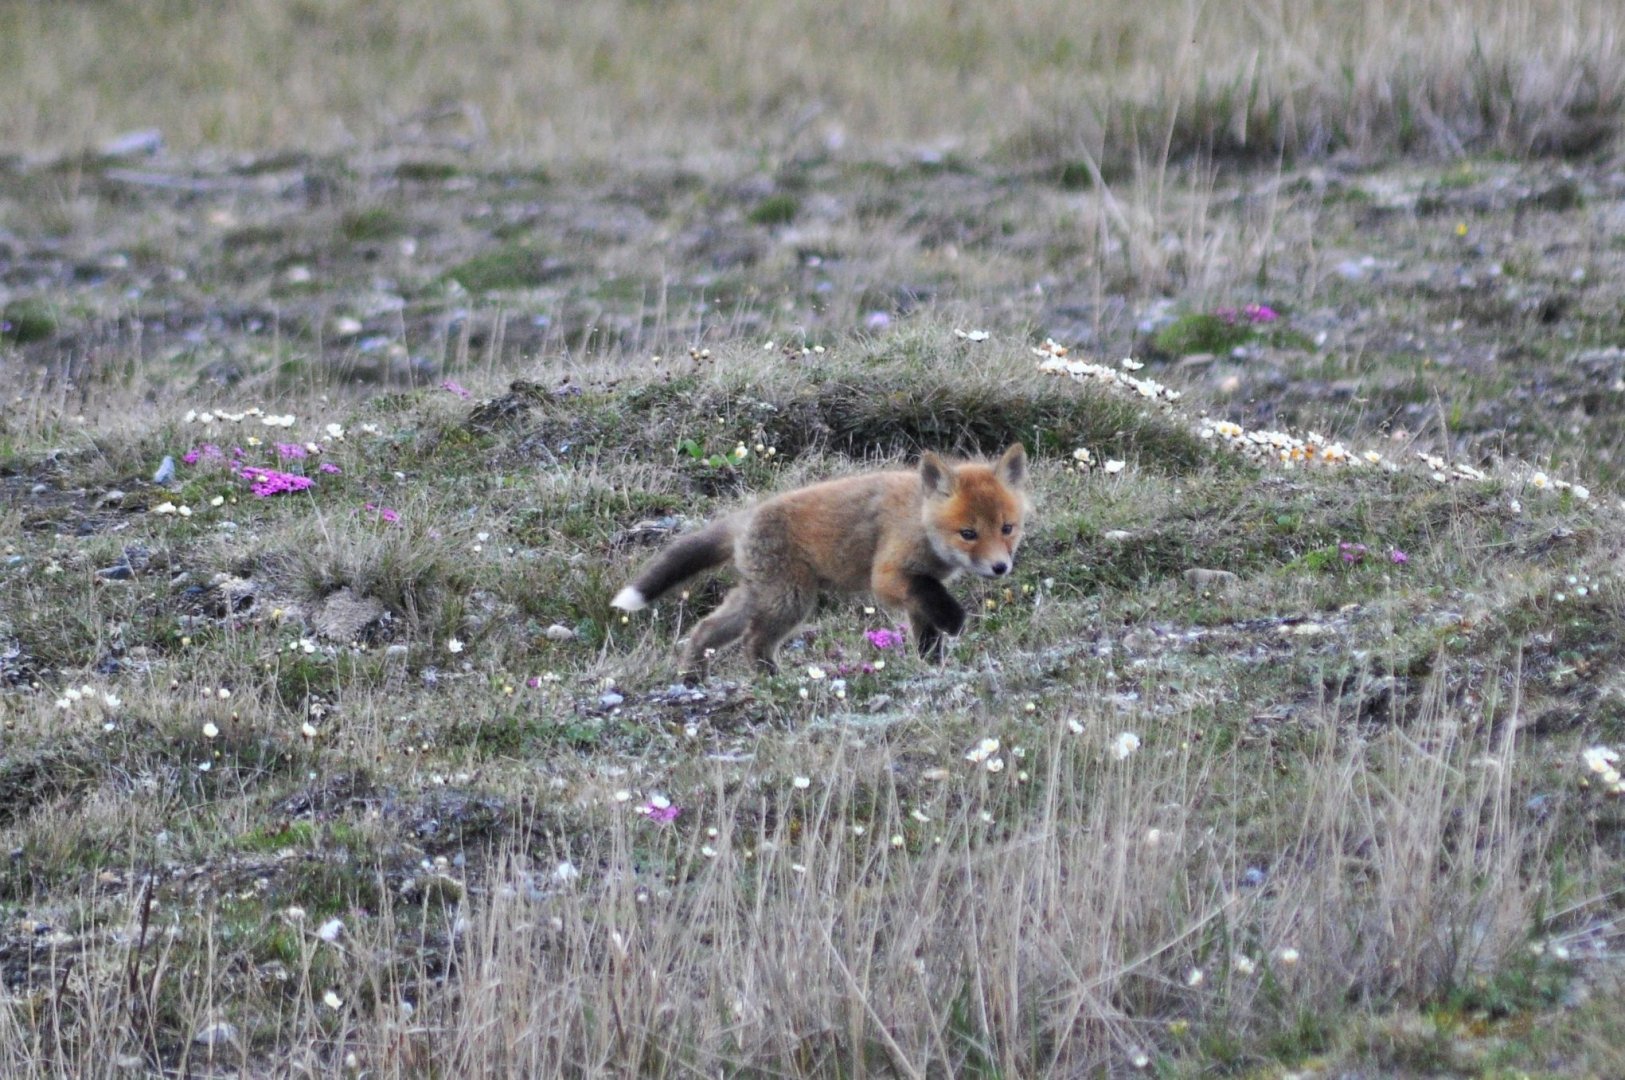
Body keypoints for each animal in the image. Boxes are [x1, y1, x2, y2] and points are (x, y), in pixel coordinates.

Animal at [611, 444, 1029, 675]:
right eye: (968, 533)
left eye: (1007, 528)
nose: (1000, 568)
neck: (919, 519)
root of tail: (747, 517)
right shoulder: (890, 576)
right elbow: (934, 605)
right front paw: (955, 622)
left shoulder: (920, 591)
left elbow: (928, 636)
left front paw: (933, 665)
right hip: (791, 599)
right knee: (753, 640)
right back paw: (772, 679)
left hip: (760, 595)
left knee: (707, 629)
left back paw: (693, 677)